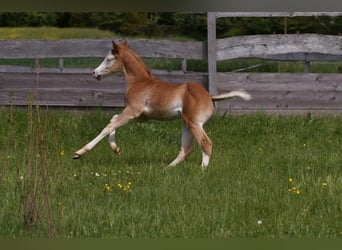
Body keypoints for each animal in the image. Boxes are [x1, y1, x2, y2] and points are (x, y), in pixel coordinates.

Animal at [73, 40, 251, 170]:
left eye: (109, 58)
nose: (94, 73)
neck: (140, 82)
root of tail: (210, 96)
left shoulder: (132, 111)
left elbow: (108, 126)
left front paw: (79, 153)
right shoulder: (140, 117)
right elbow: (113, 119)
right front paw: (116, 149)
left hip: (194, 123)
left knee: (205, 143)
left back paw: (202, 170)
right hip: (186, 123)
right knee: (186, 148)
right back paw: (167, 168)